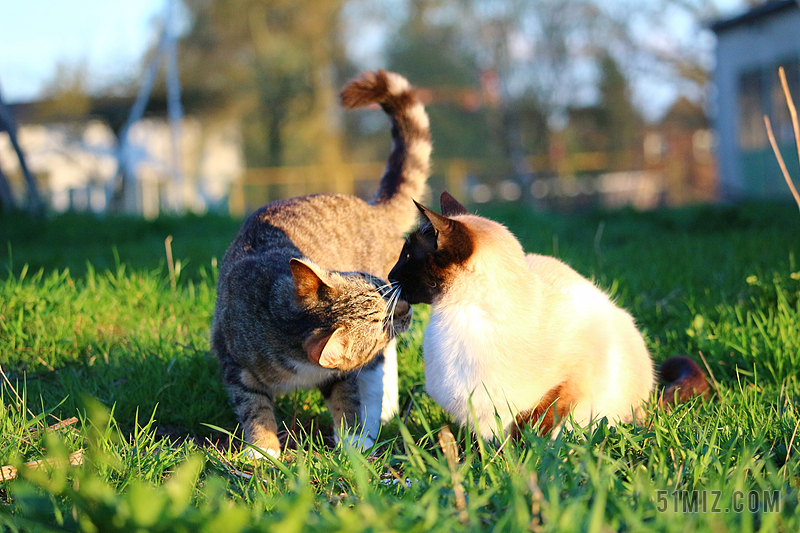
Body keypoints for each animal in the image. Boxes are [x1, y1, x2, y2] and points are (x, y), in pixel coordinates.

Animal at [209, 70, 428, 458]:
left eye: (379, 285)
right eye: (382, 324)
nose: (406, 306)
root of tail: (370, 207)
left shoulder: (342, 374)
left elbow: (348, 401)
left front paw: (354, 442)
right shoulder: (234, 364)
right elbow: (253, 407)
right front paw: (262, 451)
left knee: (380, 371)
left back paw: (380, 415)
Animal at [388, 190, 708, 436]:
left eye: (407, 256)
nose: (390, 276)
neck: (463, 319)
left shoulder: (570, 379)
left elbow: (536, 424)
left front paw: (521, 460)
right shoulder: (472, 414)